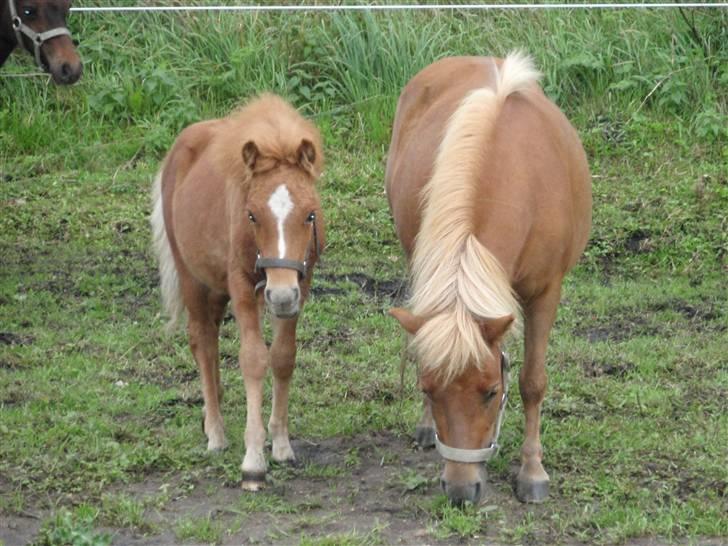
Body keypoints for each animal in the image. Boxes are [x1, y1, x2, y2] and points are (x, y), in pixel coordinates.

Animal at [152, 94, 326, 488]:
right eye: (252, 216)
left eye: (310, 215)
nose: (280, 296)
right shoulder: (243, 287)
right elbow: (253, 359)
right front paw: (253, 461)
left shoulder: (300, 285)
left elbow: (283, 357)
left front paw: (281, 444)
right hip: (193, 278)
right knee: (202, 341)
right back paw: (215, 433)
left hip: (218, 289)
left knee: (212, 341)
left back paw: (209, 417)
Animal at [386, 53, 592, 504]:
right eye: (428, 390)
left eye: (491, 392)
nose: (461, 491)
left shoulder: (545, 292)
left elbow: (533, 382)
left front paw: (532, 473)